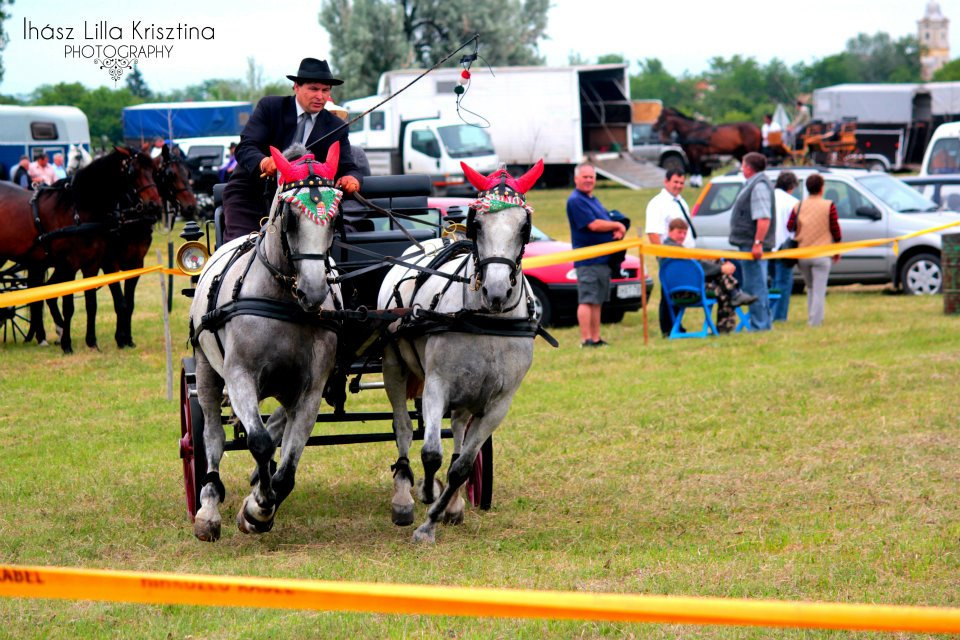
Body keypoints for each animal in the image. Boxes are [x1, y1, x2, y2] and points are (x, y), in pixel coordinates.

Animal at [0, 147, 162, 352]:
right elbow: (70, 305)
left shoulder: (95, 264)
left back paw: (44, 335)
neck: (78, 210)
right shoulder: (74, 264)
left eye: (154, 171)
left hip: (36, 262)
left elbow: (92, 303)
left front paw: (92, 342)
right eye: (133, 172)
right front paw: (68, 345)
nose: (154, 206)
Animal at [189, 144, 344, 540]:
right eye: (289, 218)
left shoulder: (311, 389)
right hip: (206, 368)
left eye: (335, 219)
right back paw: (208, 505)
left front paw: (259, 508)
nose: (314, 291)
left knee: (276, 425)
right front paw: (257, 506)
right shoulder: (239, 375)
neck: (284, 302)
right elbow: (256, 441)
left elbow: (286, 468)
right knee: (212, 434)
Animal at [376, 161, 544, 544]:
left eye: (524, 227)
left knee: (458, 429)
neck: (488, 321)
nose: (496, 291)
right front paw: (426, 496)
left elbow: (462, 465)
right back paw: (404, 497)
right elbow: (431, 452)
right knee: (403, 428)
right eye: (476, 222)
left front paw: (436, 517)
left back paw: (452, 505)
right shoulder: (436, 386)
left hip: (470, 394)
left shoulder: (498, 404)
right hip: (394, 365)